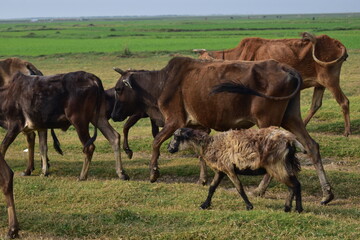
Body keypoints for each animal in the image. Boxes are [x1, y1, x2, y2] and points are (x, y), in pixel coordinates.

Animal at [112, 56, 334, 204]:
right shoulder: (196, 125)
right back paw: (326, 193)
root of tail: (287, 68)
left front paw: (153, 173)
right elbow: (199, 153)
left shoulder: (174, 120)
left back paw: (259, 190)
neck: (161, 82)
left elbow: (156, 141)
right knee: (312, 147)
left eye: (119, 89)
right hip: (291, 117)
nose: (113, 115)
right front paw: (202, 179)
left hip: (268, 121)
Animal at [168, 126, 304, 213]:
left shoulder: (228, 168)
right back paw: (287, 208)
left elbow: (239, 187)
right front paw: (204, 205)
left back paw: (298, 209)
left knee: (295, 185)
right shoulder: (221, 170)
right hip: (285, 165)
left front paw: (249, 206)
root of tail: (290, 140)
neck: (208, 144)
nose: (169, 149)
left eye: (176, 137)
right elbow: (212, 187)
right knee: (292, 186)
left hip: (277, 166)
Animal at [195, 32, 350, 136]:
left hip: (330, 80)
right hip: (320, 84)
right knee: (315, 105)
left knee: (344, 101)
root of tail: (334, 41)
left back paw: (347, 131)